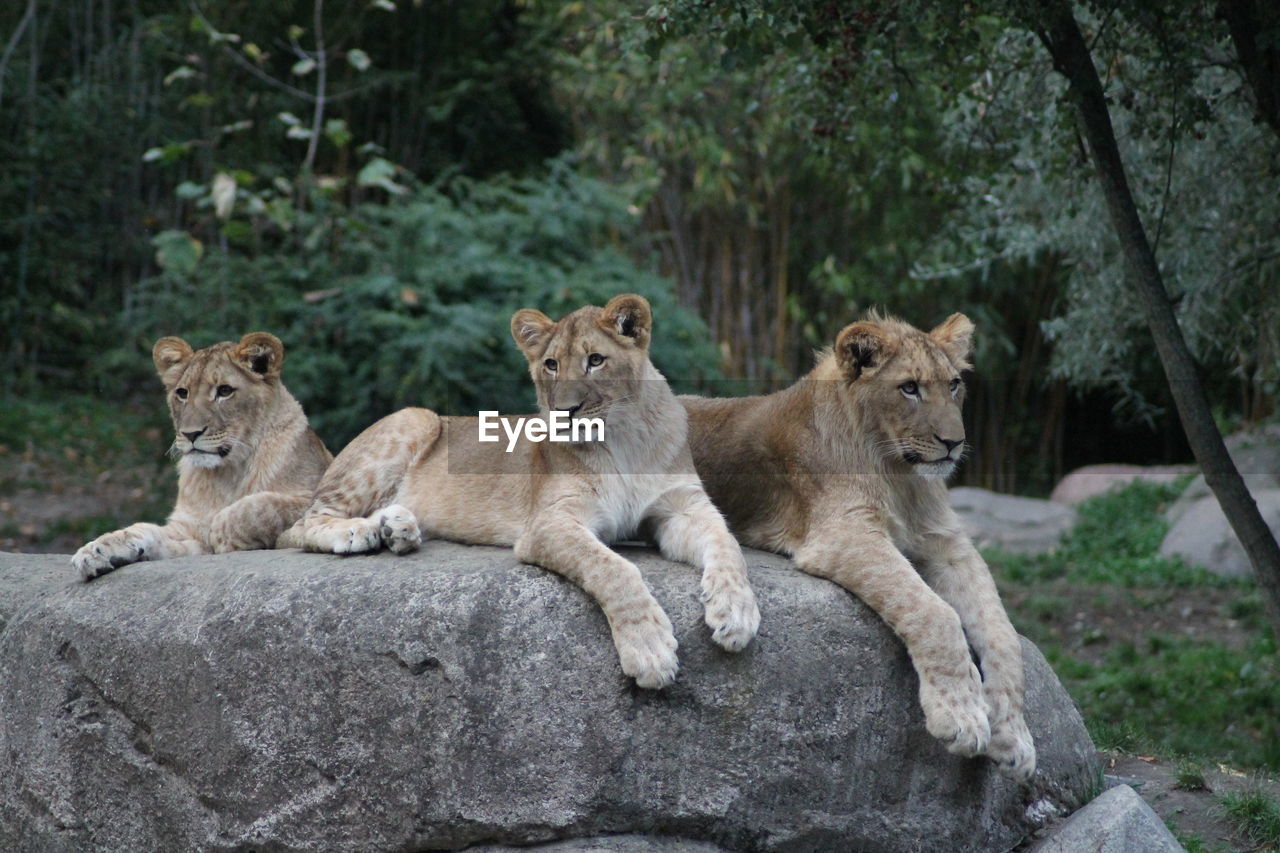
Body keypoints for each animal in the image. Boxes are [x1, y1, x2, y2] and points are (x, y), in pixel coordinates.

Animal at [72, 330, 332, 578]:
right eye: (182, 393)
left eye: (224, 391)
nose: (190, 434)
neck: (227, 472)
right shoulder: (189, 530)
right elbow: (143, 529)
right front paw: (96, 549)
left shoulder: (313, 498)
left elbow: (259, 505)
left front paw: (221, 533)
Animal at [299, 295, 757, 686]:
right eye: (551, 365)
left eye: (595, 360)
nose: (564, 411)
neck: (622, 436)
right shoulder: (549, 522)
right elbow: (614, 568)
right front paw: (650, 650)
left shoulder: (682, 507)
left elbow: (728, 544)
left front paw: (736, 612)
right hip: (415, 417)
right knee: (302, 523)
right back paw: (359, 533)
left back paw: (398, 530)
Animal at [686, 311, 1034, 778]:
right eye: (909, 387)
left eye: (953, 385)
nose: (953, 443)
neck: (899, 475)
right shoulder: (844, 533)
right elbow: (935, 613)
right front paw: (960, 716)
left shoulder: (947, 543)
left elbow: (1003, 634)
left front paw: (1014, 738)